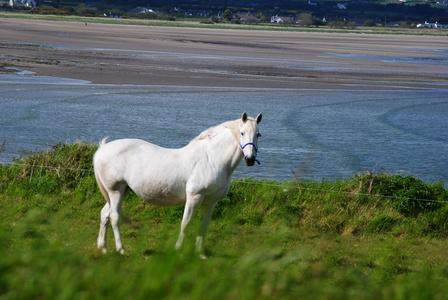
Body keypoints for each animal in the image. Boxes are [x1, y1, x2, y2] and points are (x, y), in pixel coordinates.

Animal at [94, 112, 262, 258]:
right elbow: (186, 224)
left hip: (122, 191)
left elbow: (203, 226)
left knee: (105, 214)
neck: (212, 159)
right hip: (116, 190)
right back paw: (120, 249)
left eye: (258, 134)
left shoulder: (210, 202)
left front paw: (200, 254)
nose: (250, 159)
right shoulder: (195, 197)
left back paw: (103, 248)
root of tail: (103, 148)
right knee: (114, 216)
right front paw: (178, 251)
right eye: (242, 133)